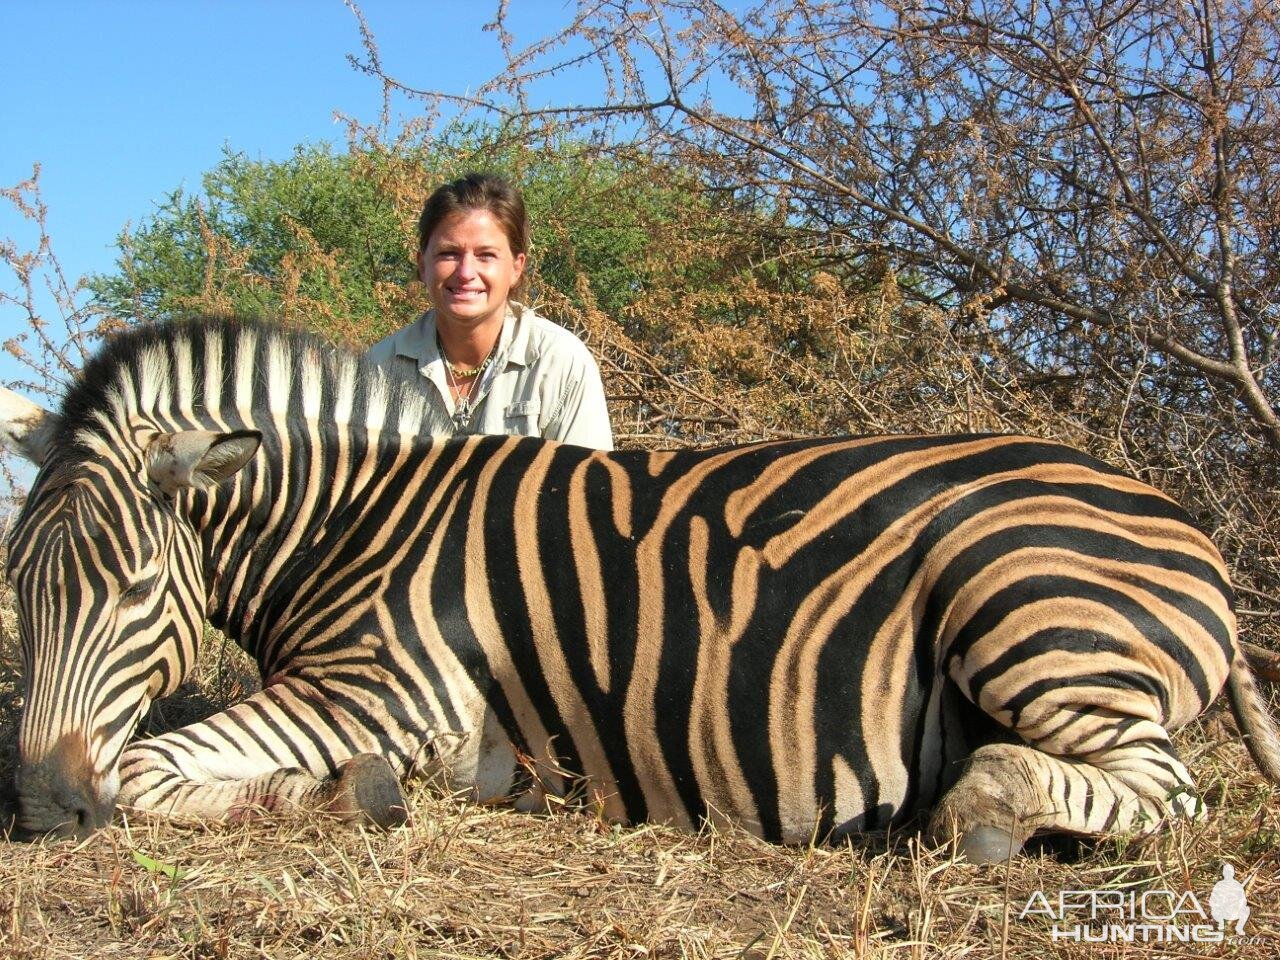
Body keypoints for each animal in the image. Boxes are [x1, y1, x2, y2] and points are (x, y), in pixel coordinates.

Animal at [0, 317, 1274, 865]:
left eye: (129, 589)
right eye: (21, 586)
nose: (43, 812)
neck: (353, 522)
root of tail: (1173, 516)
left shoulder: (387, 692)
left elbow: (147, 765)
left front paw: (333, 794)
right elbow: (153, 755)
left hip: (1020, 606)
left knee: (1158, 792)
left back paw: (979, 811)